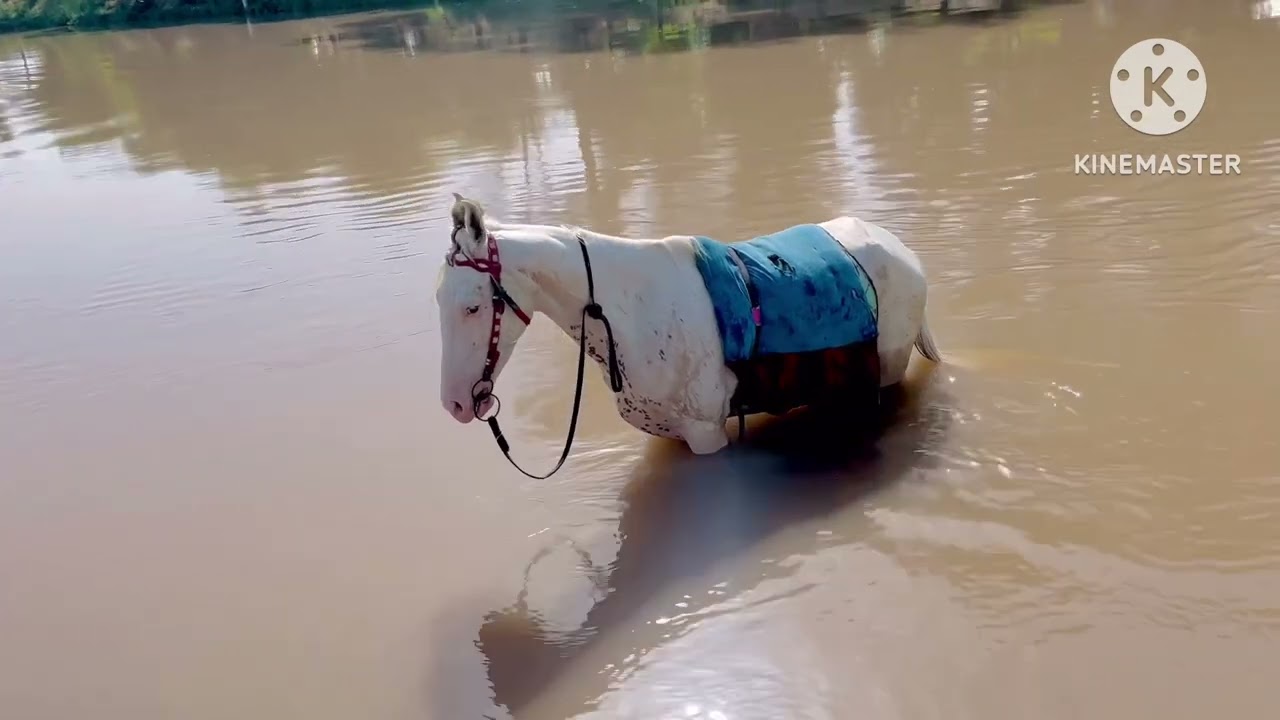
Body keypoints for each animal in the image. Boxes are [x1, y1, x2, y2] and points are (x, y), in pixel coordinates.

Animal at [435, 193, 942, 474]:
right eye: (438, 299)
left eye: (473, 306)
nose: (455, 405)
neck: (631, 311)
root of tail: (901, 249)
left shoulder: (705, 434)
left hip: (888, 370)